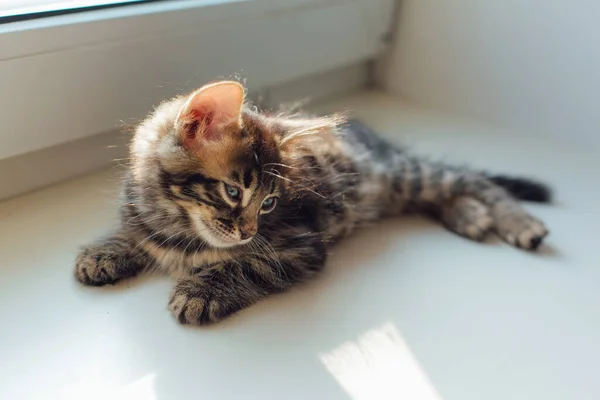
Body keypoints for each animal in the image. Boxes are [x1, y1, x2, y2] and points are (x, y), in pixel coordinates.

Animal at [74, 80, 548, 324]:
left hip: (402, 175)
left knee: (468, 178)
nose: (248, 231)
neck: (176, 222)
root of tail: (374, 136)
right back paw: (470, 216)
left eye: (269, 204)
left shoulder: (299, 246)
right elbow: (133, 233)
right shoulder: (142, 215)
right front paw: (105, 251)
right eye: (234, 192)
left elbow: (243, 265)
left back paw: (515, 221)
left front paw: (200, 290)